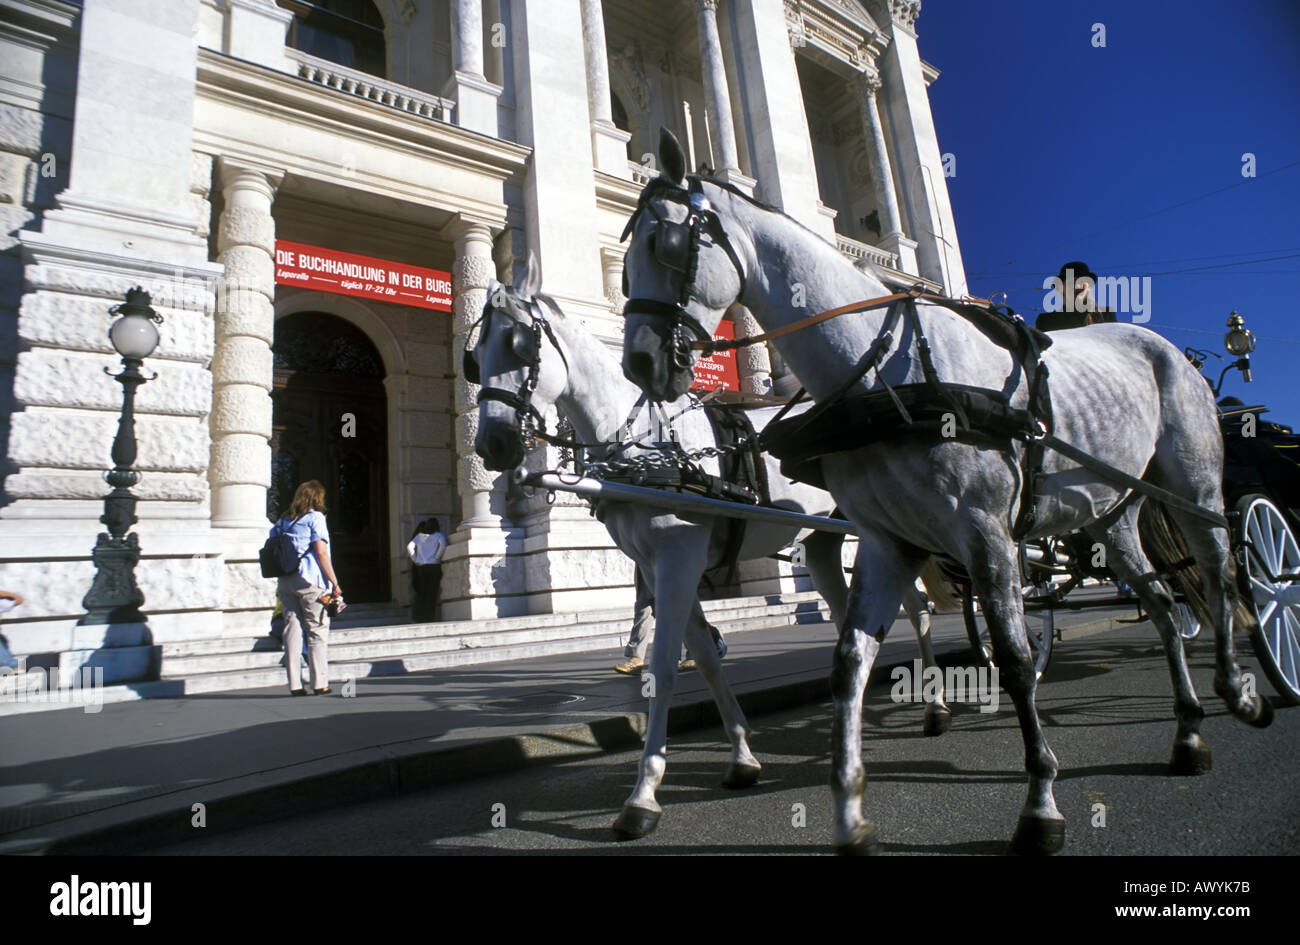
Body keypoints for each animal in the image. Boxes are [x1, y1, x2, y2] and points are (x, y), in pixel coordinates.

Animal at [475, 254, 956, 837]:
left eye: (520, 344)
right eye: (474, 356)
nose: (491, 445)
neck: (645, 444)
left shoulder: (678, 558)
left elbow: (663, 666)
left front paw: (643, 795)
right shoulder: (657, 566)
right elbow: (703, 656)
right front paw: (743, 757)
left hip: (885, 533)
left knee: (917, 609)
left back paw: (934, 707)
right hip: (825, 541)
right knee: (856, 625)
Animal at [616, 127, 1268, 857]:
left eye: (665, 245)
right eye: (623, 261)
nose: (638, 363)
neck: (884, 371)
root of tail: (1160, 344)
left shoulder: (986, 532)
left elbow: (1014, 658)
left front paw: (1041, 800)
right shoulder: (886, 540)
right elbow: (850, 660)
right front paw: (850, 811)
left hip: (1193, 486)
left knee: (1219, 572)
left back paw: (1242, 688)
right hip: (1107, 517)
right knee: (1158, 600)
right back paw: (1188, 731)